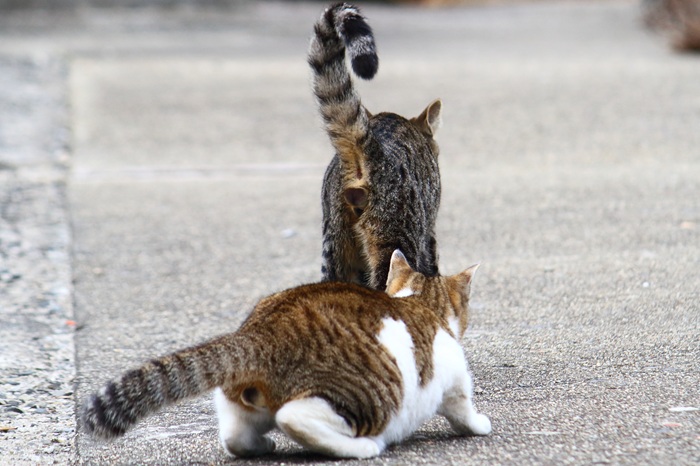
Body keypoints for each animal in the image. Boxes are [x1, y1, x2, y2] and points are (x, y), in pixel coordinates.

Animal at [82, 251, 492, 458]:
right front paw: (478, 424)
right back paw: (363, 448)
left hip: (235, 401)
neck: (416, 302)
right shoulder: (455, 376)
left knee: (235, 437)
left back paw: (259, 445)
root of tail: (259, 336)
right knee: (295, 418)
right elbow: (462, 408)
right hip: (366, 397)